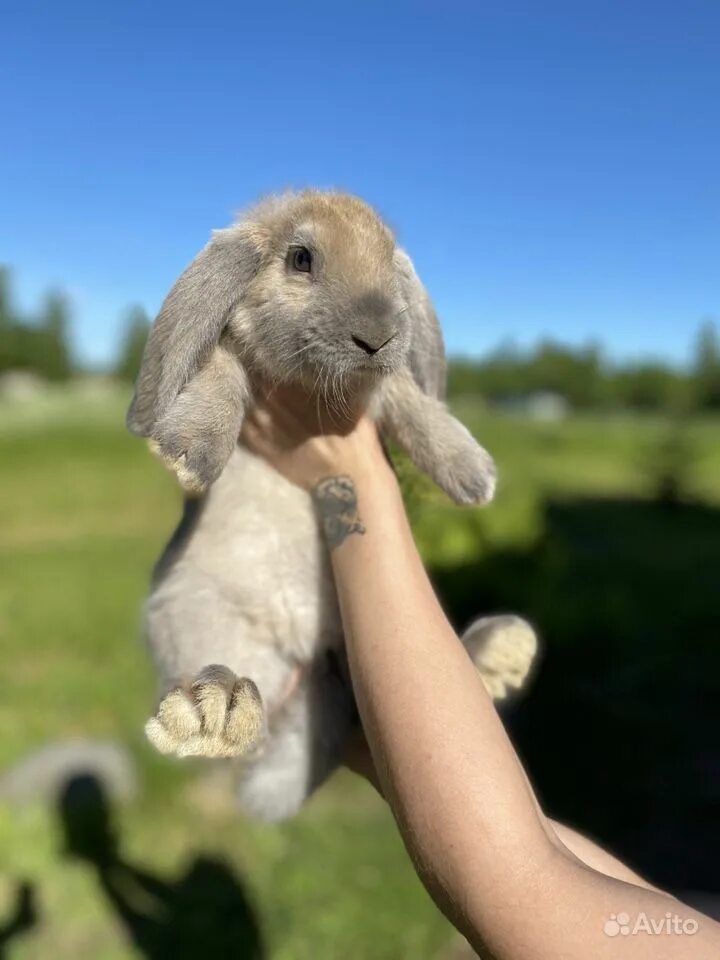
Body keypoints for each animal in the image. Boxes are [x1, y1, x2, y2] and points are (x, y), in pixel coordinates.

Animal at [128, 191, 536, 820]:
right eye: (300, 258)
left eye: (391, 264)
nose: (378, 336)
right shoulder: (234, 356)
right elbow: (221, 371)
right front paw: (188, 452)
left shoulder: (381, 390)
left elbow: (408, 397)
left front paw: (471, 474)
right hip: (198, 618)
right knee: (244, 717)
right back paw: (212, 711)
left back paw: (500, 650)